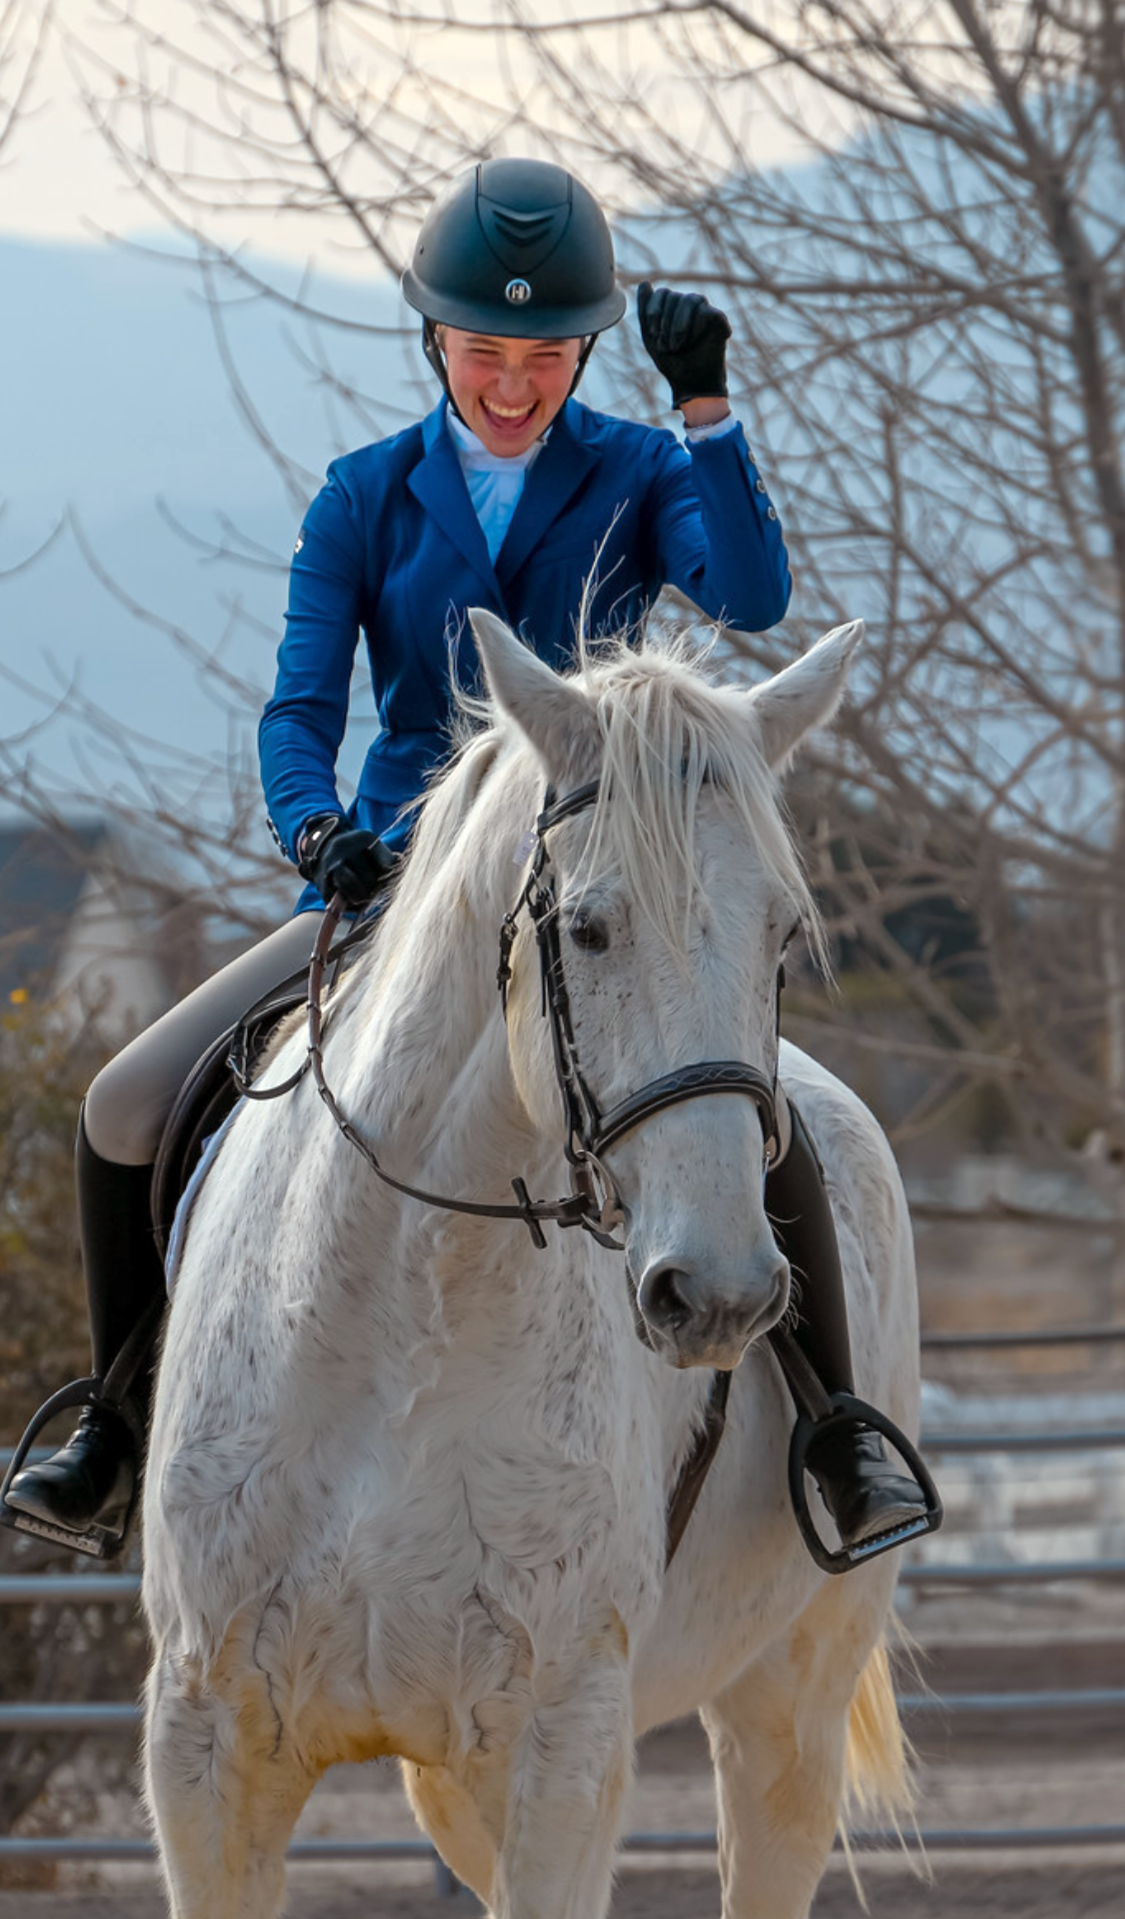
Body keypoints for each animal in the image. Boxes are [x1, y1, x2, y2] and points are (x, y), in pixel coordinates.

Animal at [140, 604, 918, 1919]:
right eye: (589, 926)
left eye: (782, 933)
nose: (719, 1294)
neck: (406, 1318)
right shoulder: (206, 1748)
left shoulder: (560, 1752)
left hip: (789, 1708)